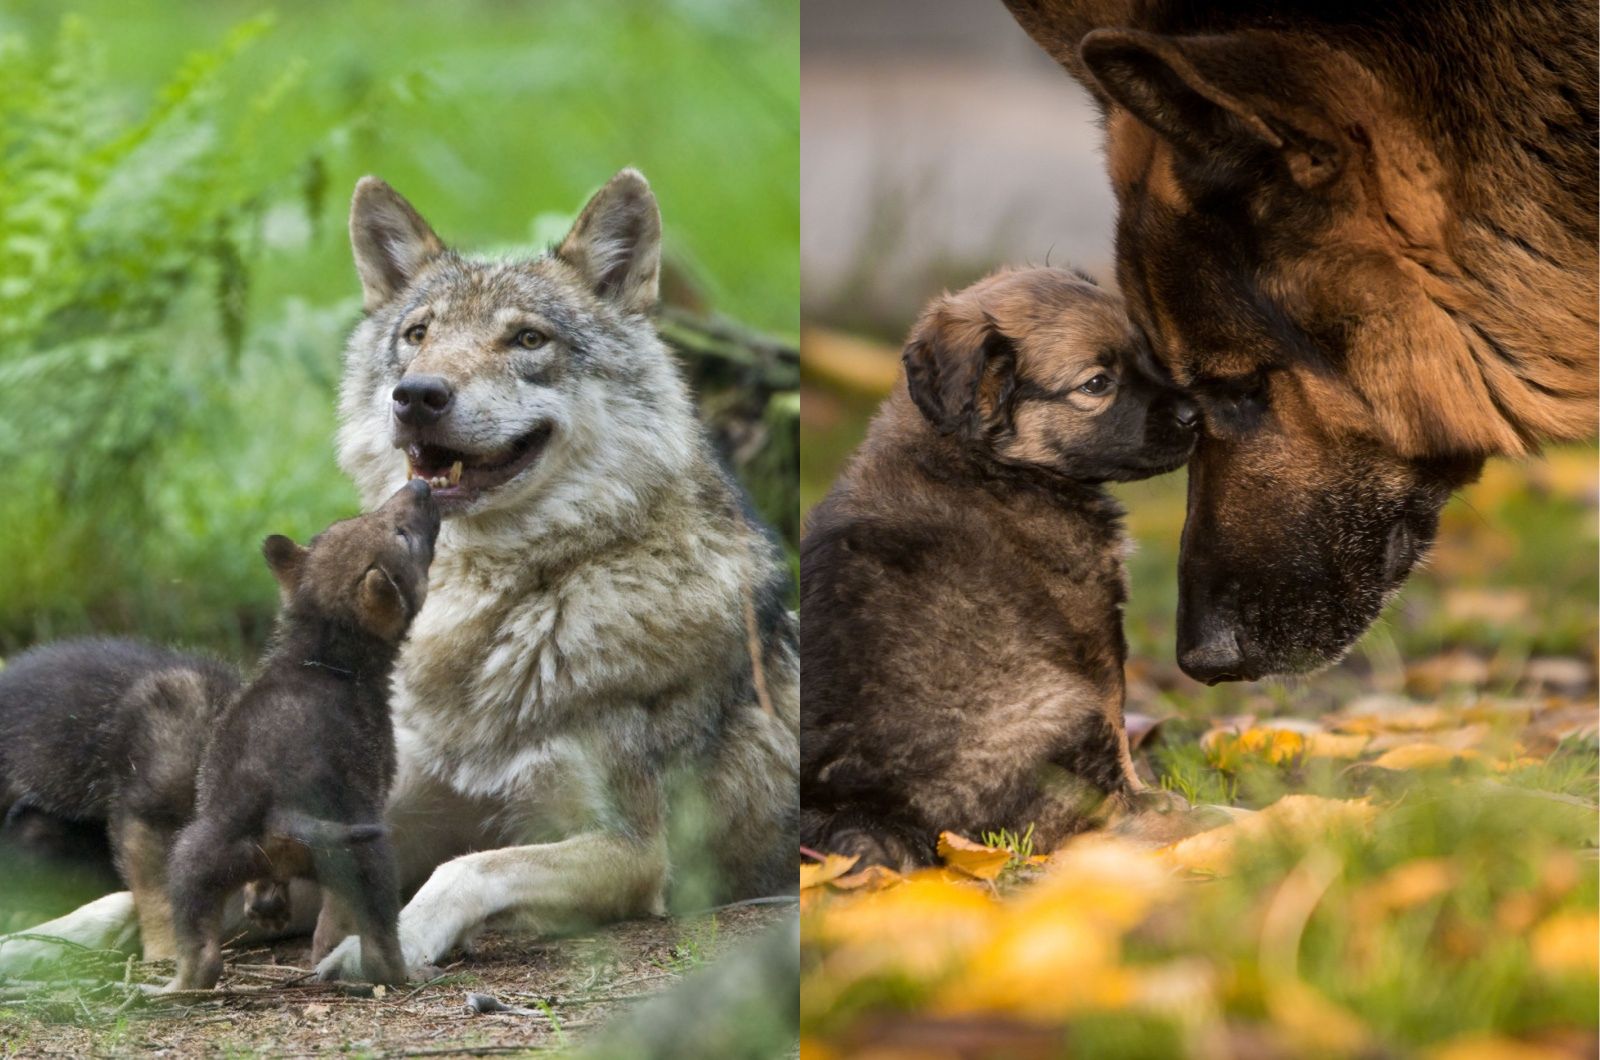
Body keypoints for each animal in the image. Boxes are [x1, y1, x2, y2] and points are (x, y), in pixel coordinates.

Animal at [796, 267, 1190, 871]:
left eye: (1147, 355)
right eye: (1097, 384)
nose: (1196, 414)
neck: (983, 459)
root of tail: (867, 809)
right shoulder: (1092, 634)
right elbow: (1118, 724)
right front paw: (1145, 794)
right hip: (1059, 705)